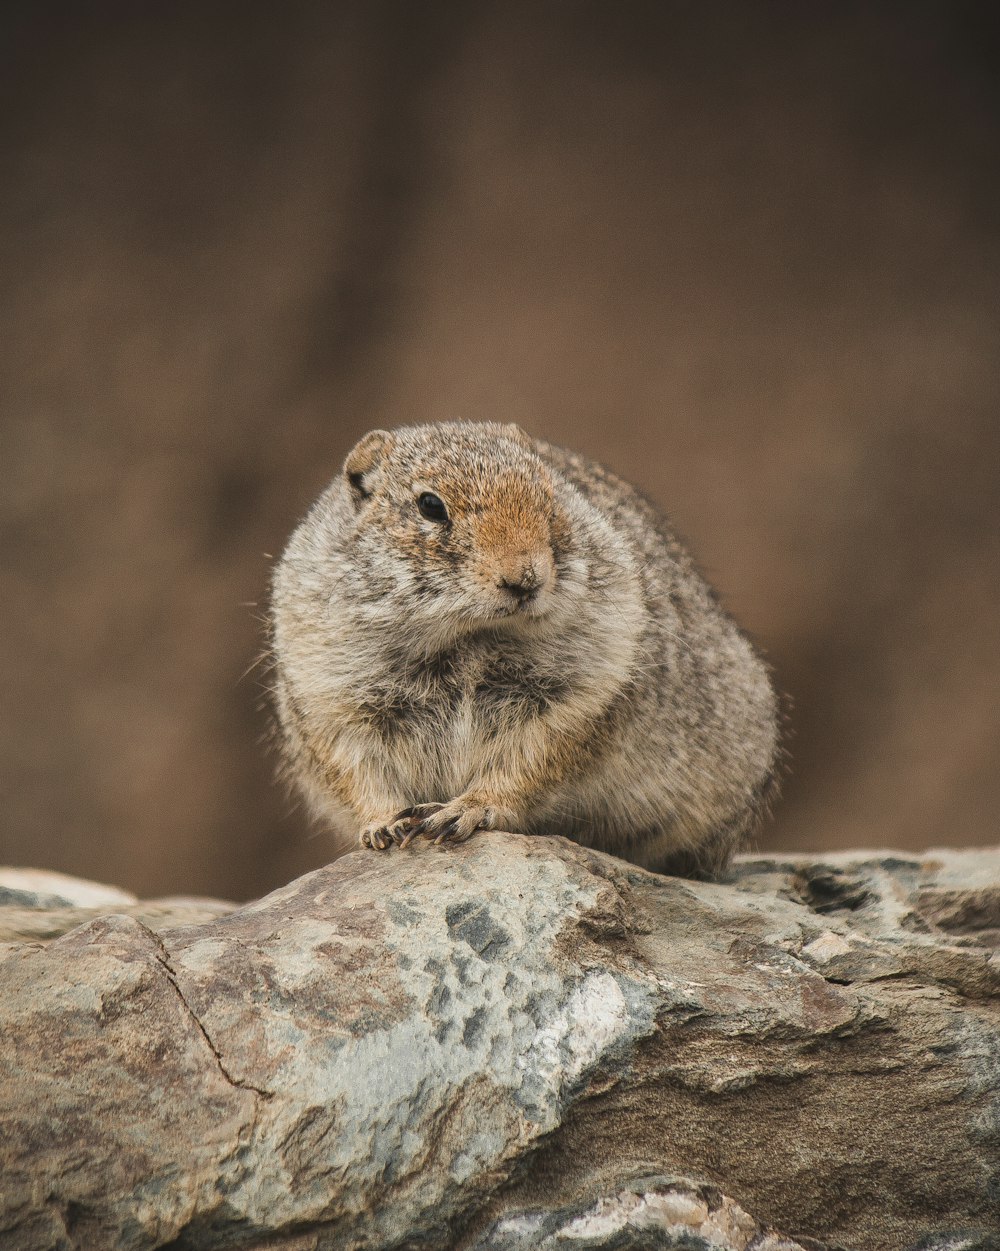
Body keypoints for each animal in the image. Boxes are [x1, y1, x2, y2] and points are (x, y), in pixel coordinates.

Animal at [271, 420, 780, 870]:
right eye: (430, 505)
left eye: (549, 498)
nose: (525, 579)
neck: (466, 637)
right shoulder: (332, 700)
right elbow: (361, 774)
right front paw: (385, 826)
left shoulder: (581, 695)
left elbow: (526, 763)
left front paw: (462, 812)